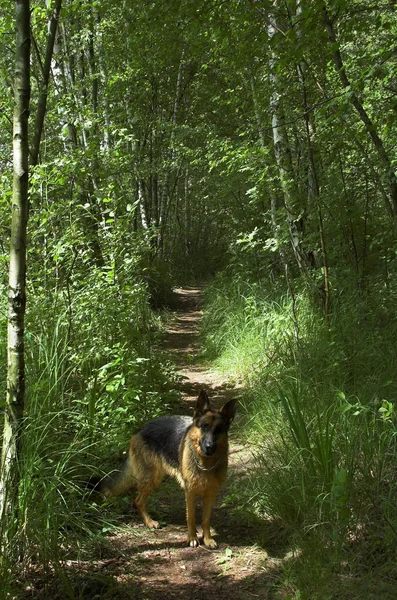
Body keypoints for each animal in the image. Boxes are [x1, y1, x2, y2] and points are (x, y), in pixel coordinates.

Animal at [90, 390, 235, 548]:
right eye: (204, 426)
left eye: (218, 430)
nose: (209, 447)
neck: (206, 464)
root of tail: (141, 428)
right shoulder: (189, 492)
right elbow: (191, 517)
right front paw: (192, 538)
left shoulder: (210, 494)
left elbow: (206, 519)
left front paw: (207, 539)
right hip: (152, 479)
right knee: (138, 501)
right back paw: (149, 522)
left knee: (136, 501)